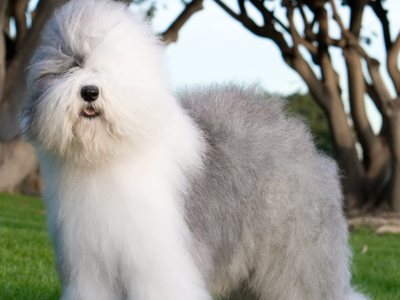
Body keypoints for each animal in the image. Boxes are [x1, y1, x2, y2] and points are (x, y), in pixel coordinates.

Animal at [18, 0, 368, 300]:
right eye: (71, 66)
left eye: (110, 70)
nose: (89, 92)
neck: (108, 157)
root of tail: (301, 136)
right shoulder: (90, 267)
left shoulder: (157, 263)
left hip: (297, 253)